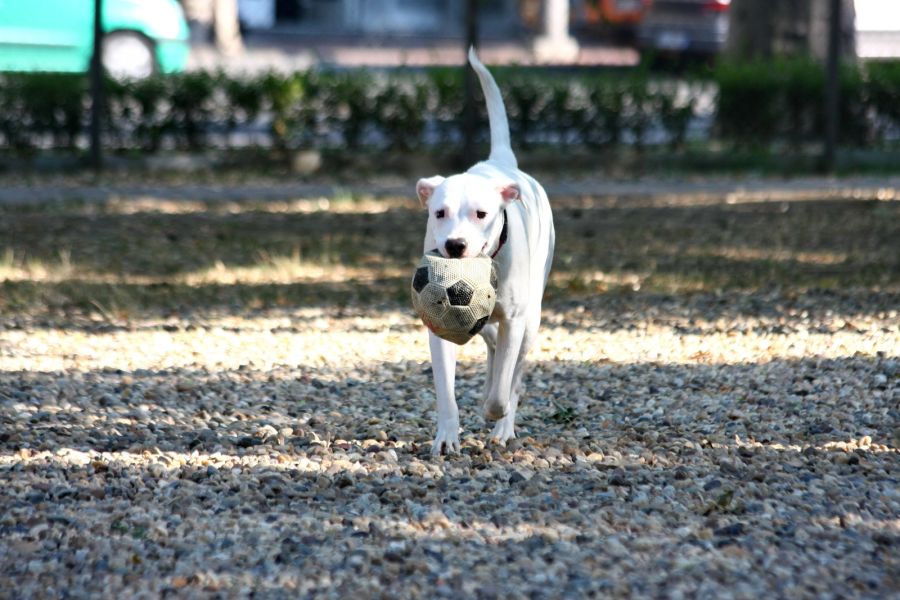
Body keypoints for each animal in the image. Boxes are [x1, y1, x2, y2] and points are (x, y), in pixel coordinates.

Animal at [416, 49, 556, 454]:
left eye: (481, 214)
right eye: (439, 213)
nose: (455, 245)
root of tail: (502, 164)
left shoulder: (515, 321)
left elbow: (502, 390)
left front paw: (496, 411)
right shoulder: (438, 324)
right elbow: (446, 390)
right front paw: (447, 436)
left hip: (532, 319)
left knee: (515, 370)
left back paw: (504, 427)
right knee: (491, 341)